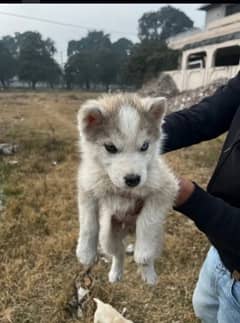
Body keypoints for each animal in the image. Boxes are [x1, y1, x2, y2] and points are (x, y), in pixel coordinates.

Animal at [76, 93, 179, 286]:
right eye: (110, 147)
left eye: (145, 146)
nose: (133, 179)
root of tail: (128, 230)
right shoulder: (87, 186)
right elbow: (88, 222)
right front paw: (85, 252)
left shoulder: (166, 187)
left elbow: (147, 220)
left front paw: (143, 253)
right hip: (107, 236)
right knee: (119, 252)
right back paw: (115, 273)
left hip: (158, 236)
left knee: (147, 254)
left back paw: (149, 274)